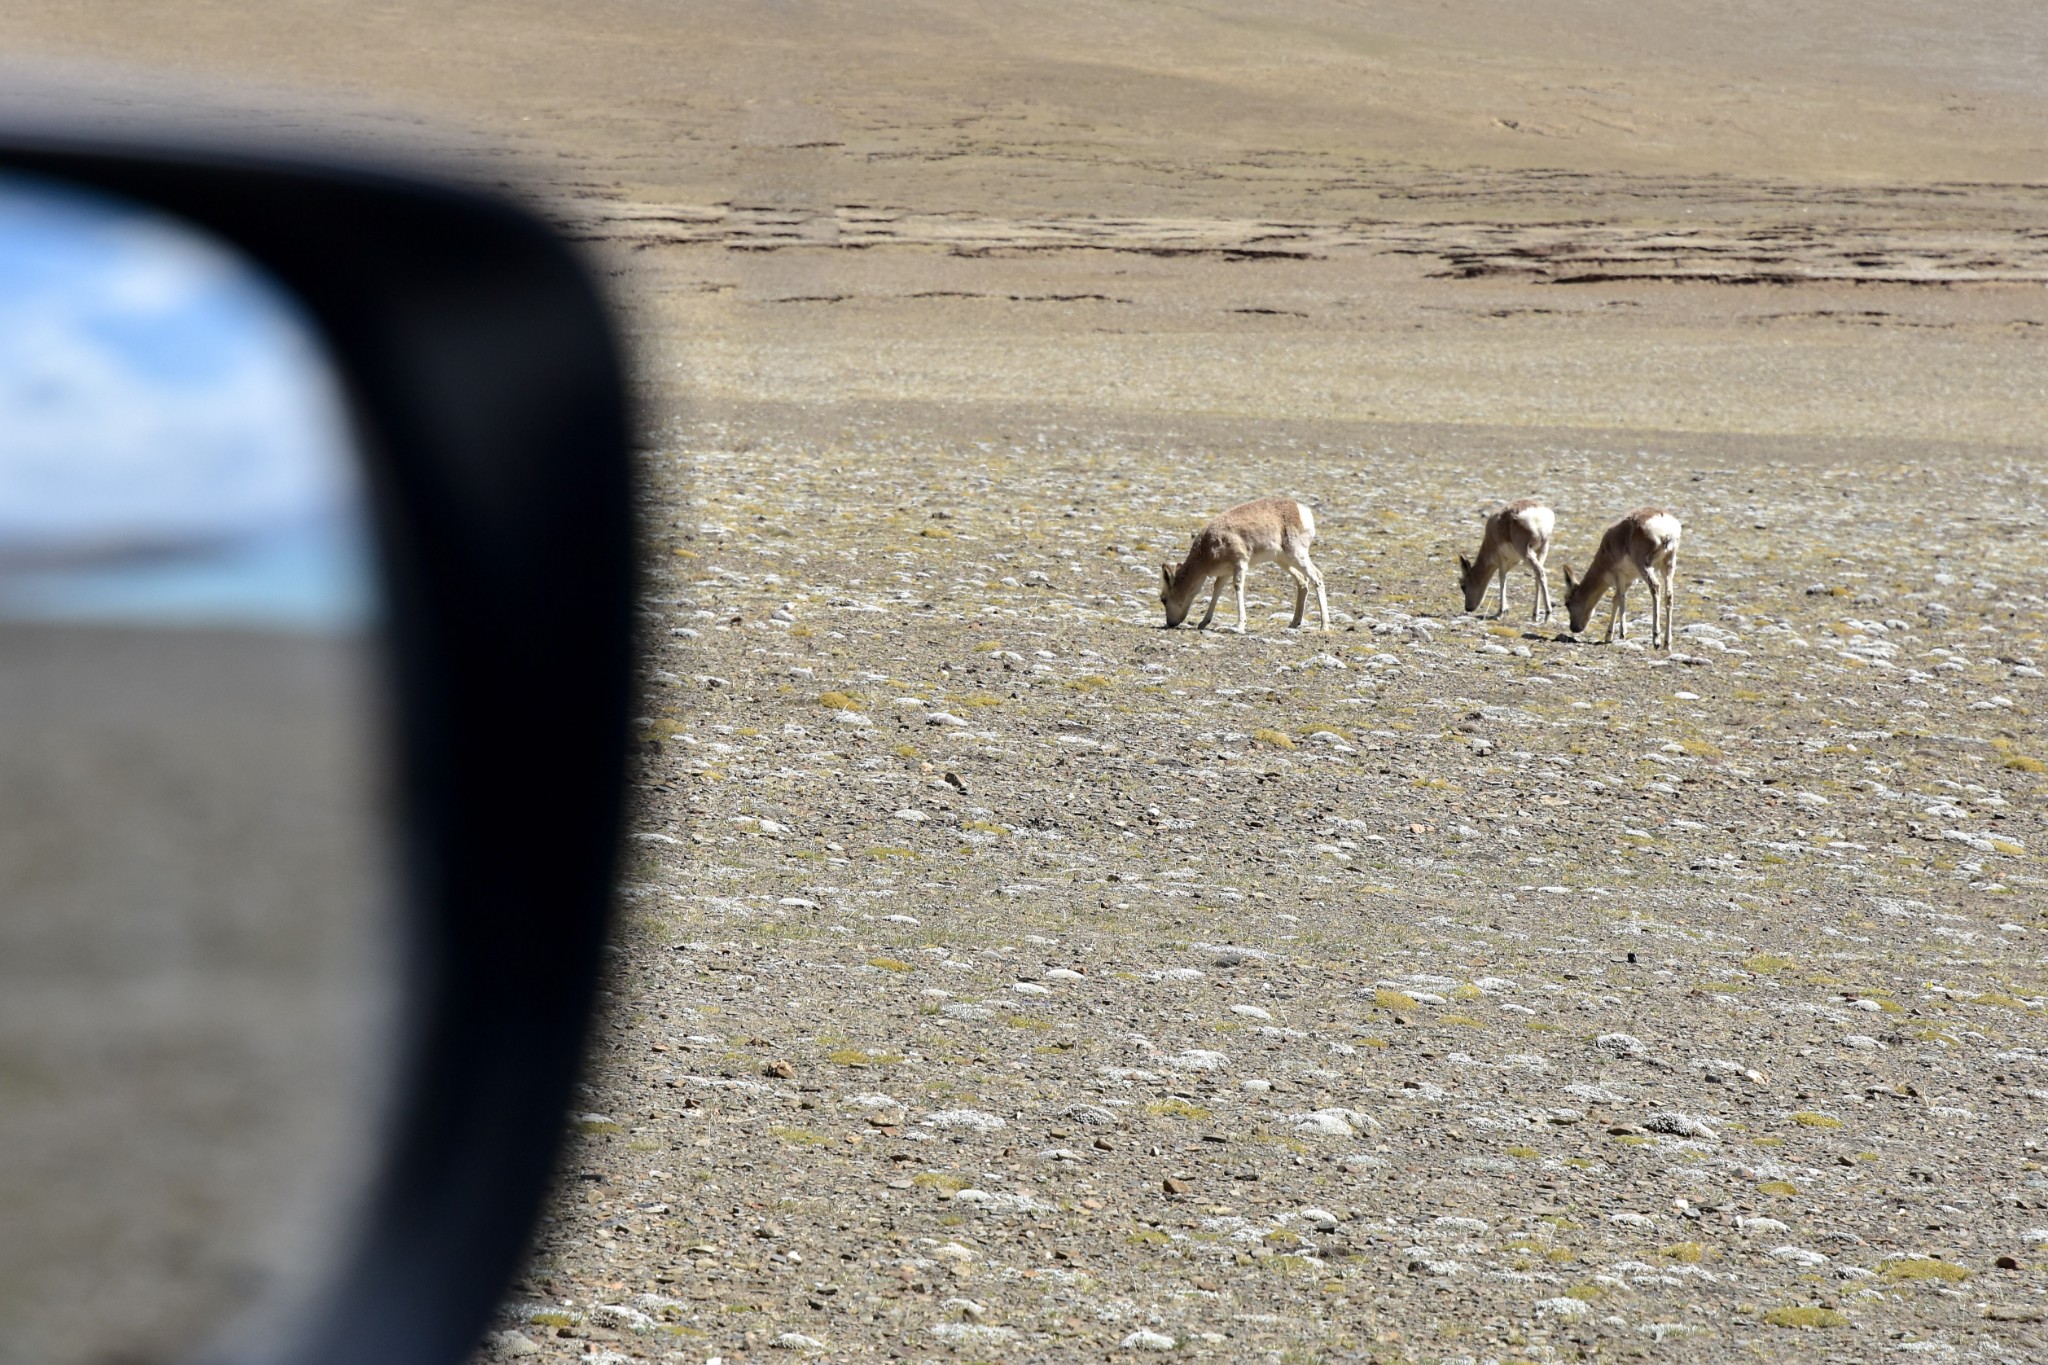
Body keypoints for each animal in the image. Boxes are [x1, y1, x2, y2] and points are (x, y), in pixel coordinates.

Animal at [1171, 497, 1327, 634]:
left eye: (1166, 598)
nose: (1170, 623)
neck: (1207, 545)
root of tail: (1301, 509)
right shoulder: (1225, 573)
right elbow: (1217, 589)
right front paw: (1203, 622)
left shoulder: (1240, 565)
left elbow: (1237, 586)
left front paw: (1240, 626)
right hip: (1283, 560)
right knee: (1302, 581)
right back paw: (1294, 623)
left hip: (1296, 556)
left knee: (1317, 576)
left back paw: (1324, 626)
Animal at [1564, 507, 1679, 650]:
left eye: (1567, 603)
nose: (1573, 628)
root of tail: (1662, 519)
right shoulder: (1630, 580)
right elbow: (1615, 600)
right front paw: (1608, 635)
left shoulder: (1618, 575)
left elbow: (1620, 598)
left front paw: (1621, 633)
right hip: (1668, 567)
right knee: (1669, 595)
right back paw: (1667, 643)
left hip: (1645, 566)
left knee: (1655, 587)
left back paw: (1656, 639)